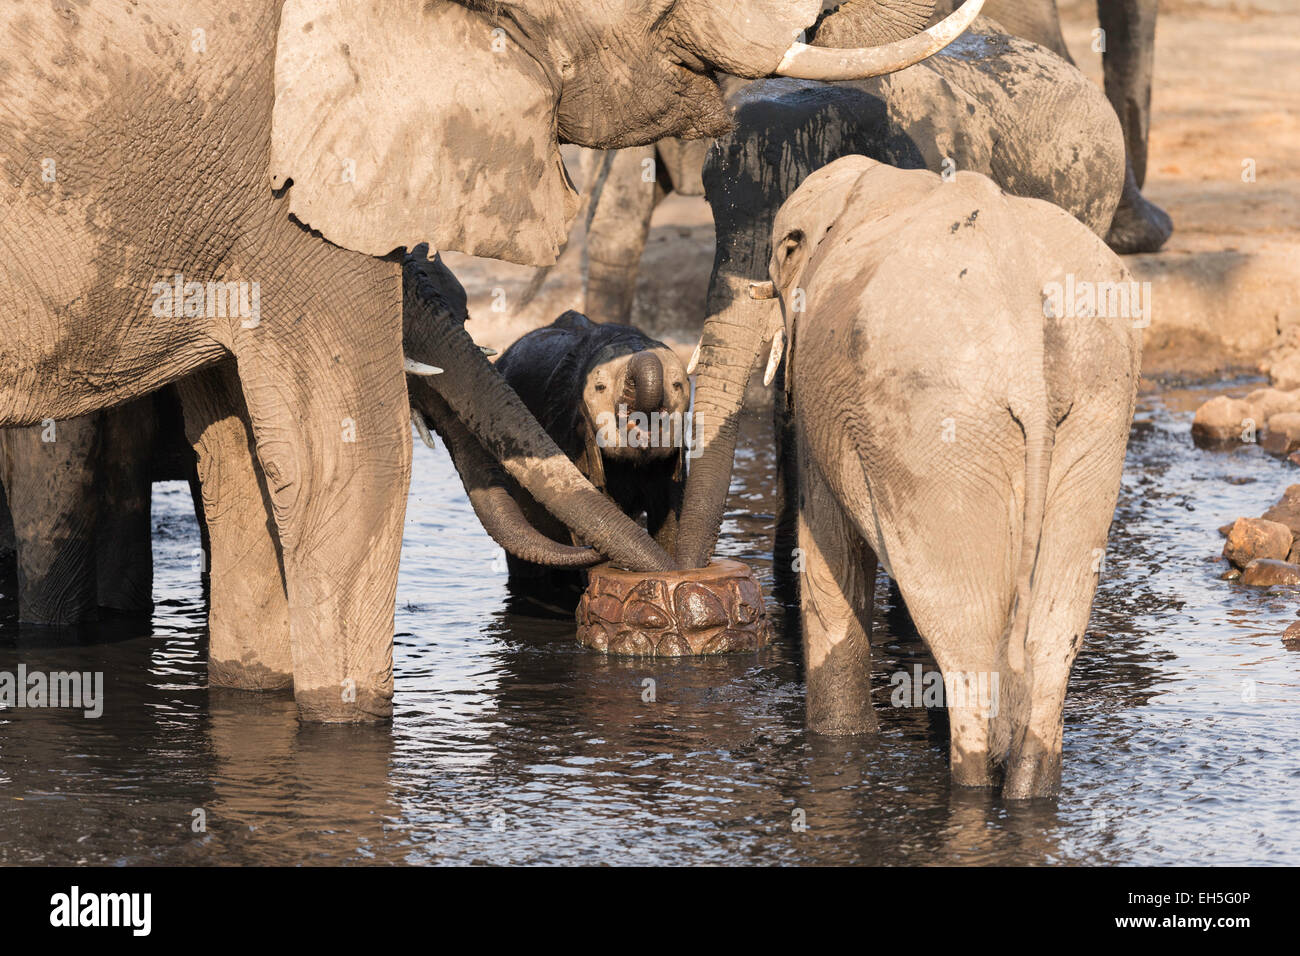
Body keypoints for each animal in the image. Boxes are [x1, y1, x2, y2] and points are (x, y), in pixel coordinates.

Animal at [764, 157, 1144, 801]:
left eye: (775, 261)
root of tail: (1027, 356)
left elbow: (826, 541)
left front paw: (839, 741)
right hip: (1098, 415)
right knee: (1053, 636)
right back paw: (1027, 792)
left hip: (939, 433)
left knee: (966, 646)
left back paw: (968, 788)